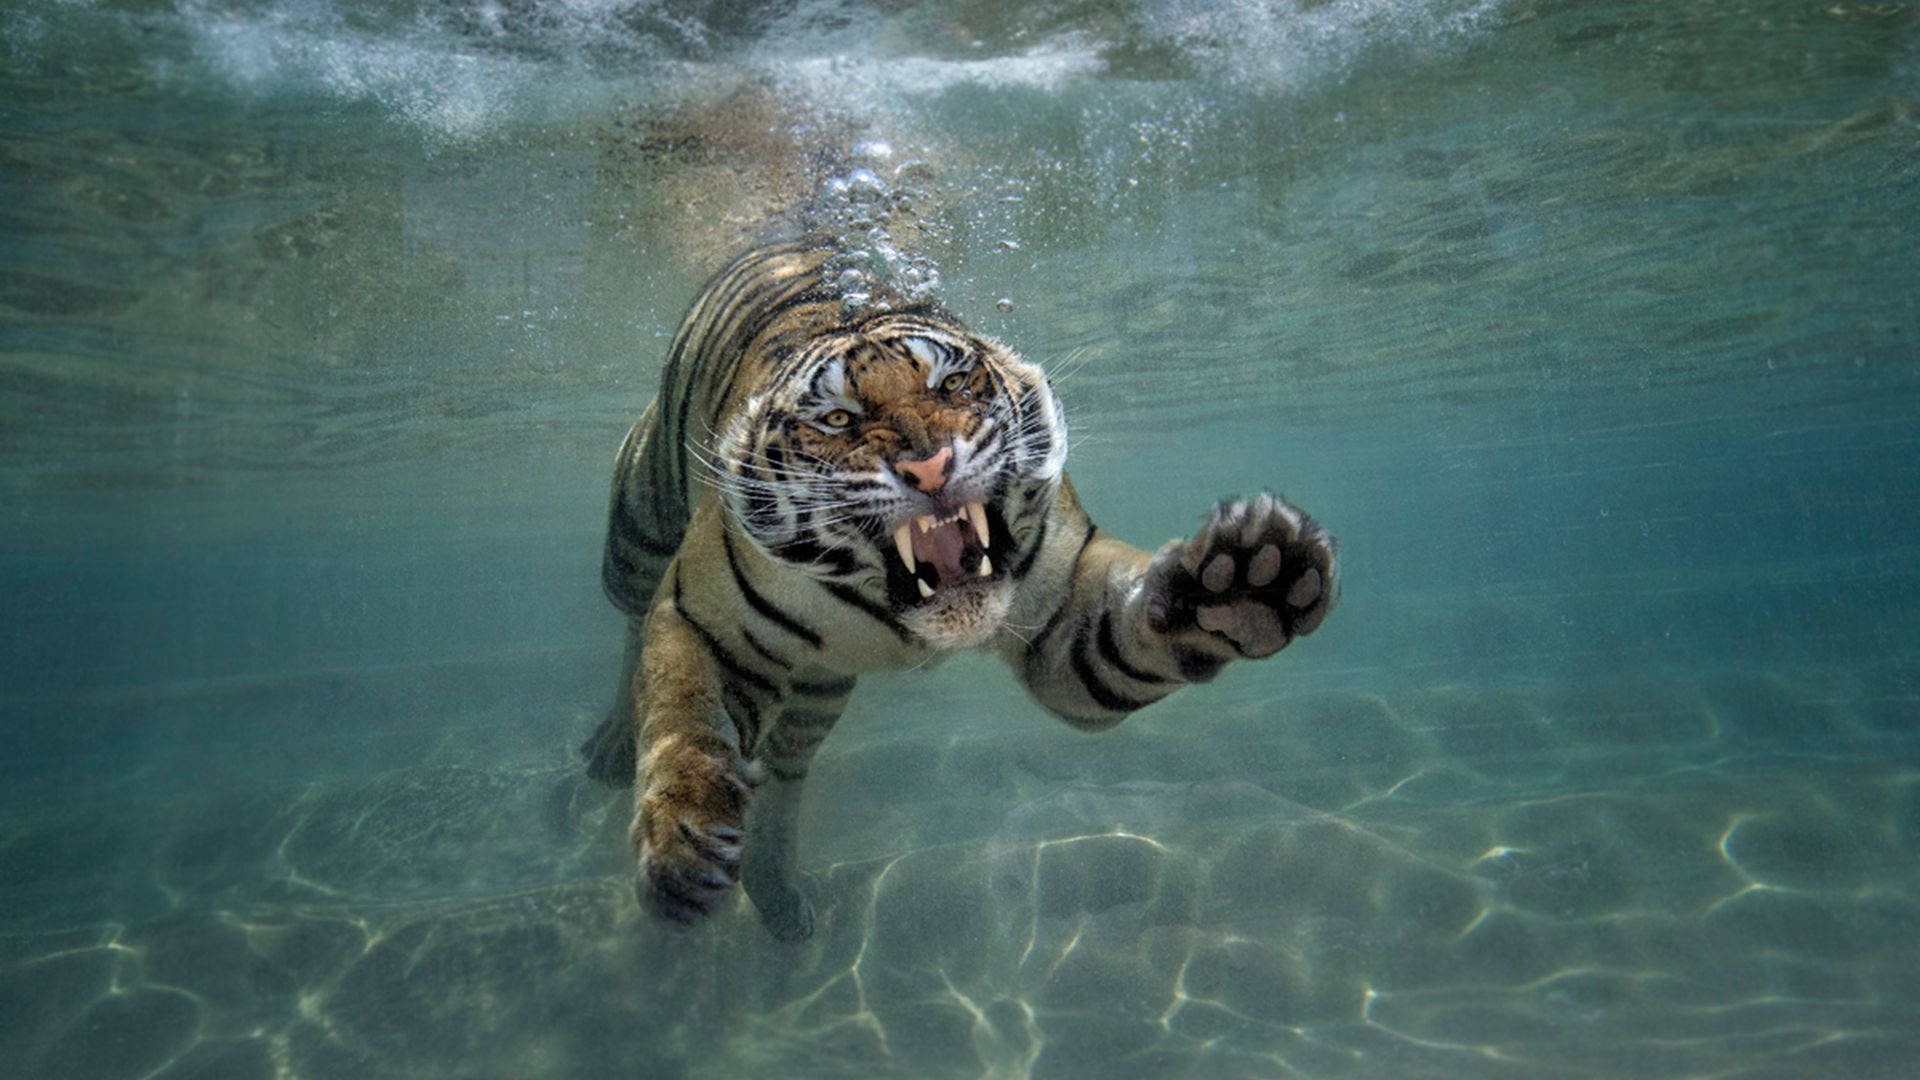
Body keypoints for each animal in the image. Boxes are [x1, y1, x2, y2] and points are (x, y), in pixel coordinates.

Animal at [581, 238, 1338, 941]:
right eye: (838, 419)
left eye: (951, 384)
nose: (929, 465)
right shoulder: (701, 619)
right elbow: (684, 718)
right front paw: (683, 843)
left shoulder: (1065, 619)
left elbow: (1132, 635)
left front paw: (1246, 583)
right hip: (639, 528)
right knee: (631, 624)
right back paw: (613, 750)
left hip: (820, 688)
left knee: (788, 767)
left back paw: (779, 897)